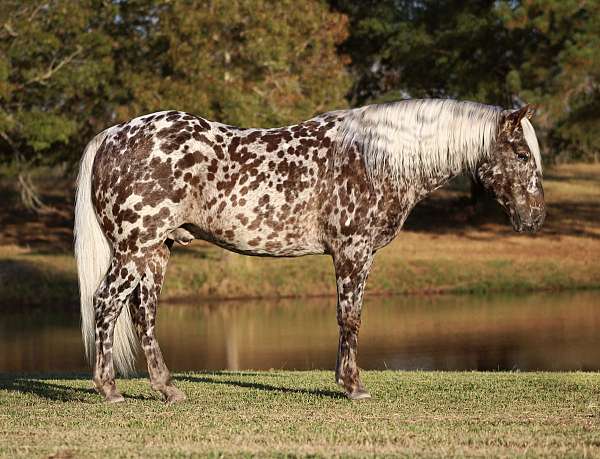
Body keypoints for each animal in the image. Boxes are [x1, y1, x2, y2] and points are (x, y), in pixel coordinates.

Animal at [74, 98, 544, 402]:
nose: (535, 219)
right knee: (106, 304)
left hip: (157, 252)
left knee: (144, 315)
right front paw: (353, 387)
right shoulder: (353, 252)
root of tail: (114, 135)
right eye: (521, 153)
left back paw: (168, 389)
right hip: (134, 250)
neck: (374, 158)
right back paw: (110, 390)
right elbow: (350, 317)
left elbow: (348, 318)